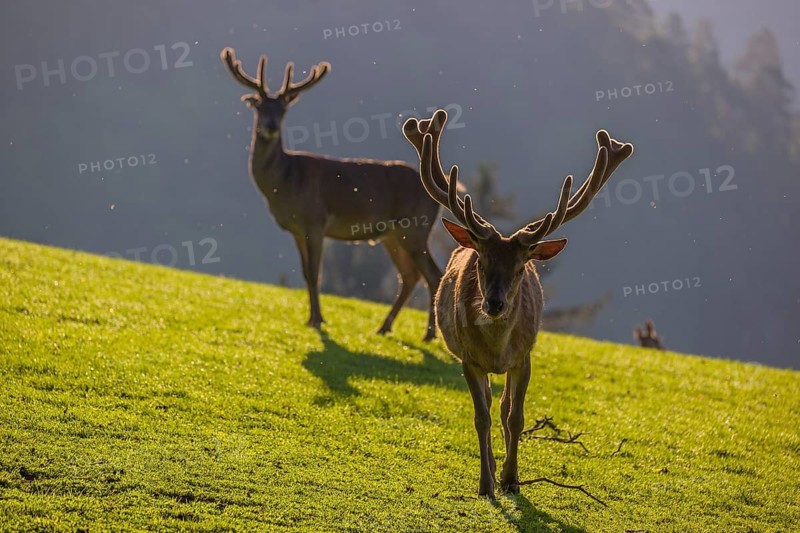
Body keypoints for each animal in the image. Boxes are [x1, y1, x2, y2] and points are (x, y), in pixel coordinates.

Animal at [220, 47, 443, 340]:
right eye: (260, 106)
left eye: (283, 109)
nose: (270, 126)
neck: (285, 182)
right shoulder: (296, 229)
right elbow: (306, 273)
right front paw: (311, 318)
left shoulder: (315, 221)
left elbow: (315, 273)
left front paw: (318, 320)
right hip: (393, 234)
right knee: (409, 276)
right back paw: (384, 327)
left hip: (416, 227)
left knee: (433, 274)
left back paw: (428, 334)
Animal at [402, 109, 633, 498]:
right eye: (481, 262)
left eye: (520, 267)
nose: (494, 304)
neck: (496, 350)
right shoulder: (468, 359)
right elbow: (480, 417)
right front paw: (486, 483)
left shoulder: (524, 357)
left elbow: (515, 416)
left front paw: (512, 479)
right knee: (489, 404)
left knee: (504, 406)